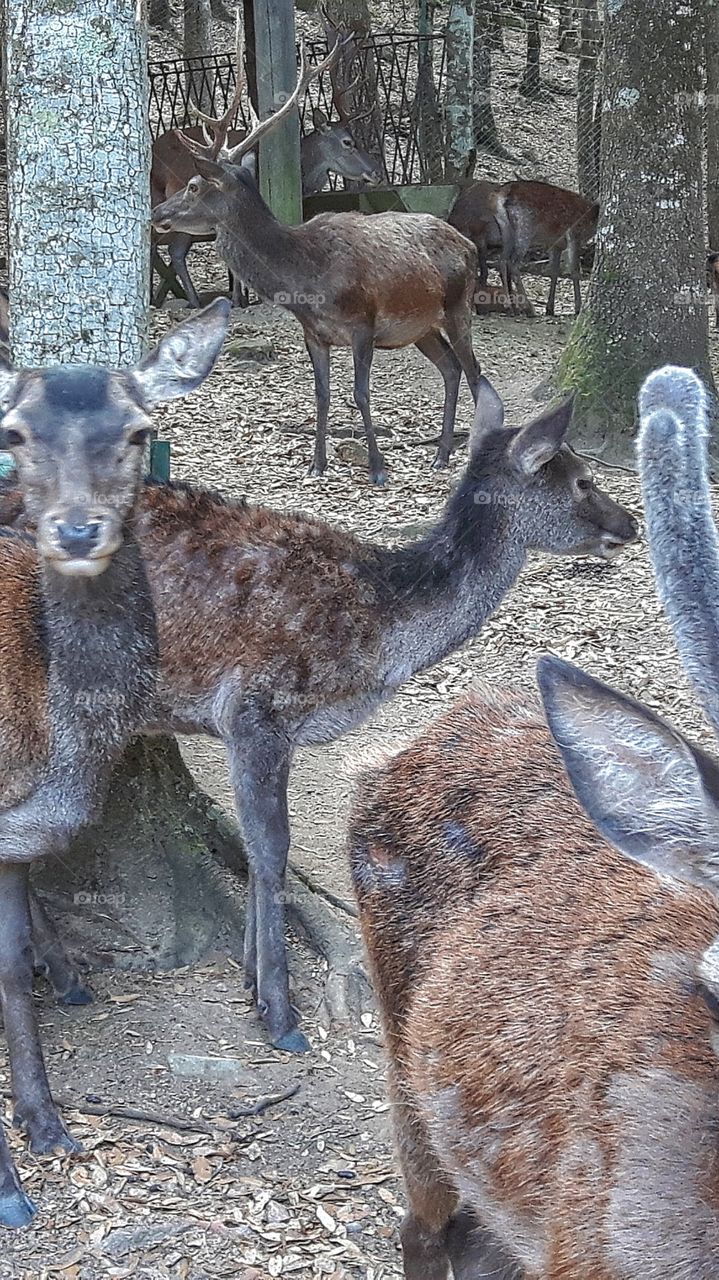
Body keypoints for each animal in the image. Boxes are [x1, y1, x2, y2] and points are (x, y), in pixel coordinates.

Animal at [1, 380, 636, 1074]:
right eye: (581, 480)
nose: (628, 525)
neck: (378, 632)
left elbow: (258, 847)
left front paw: (251, 978)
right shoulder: (258, 709)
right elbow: (272, 847)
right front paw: (279, 1015)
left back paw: (63, 974)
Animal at [152, 40, 484, 483]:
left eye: (192, 186)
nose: (158, 212)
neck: (307, 279)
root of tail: (469, 245)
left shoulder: (363, 323)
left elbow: (360, 393)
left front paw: (377, 468)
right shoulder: (313, 333)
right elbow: (322, 394)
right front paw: (317, 464)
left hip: (458, 305)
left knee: (474, 370)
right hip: (421, 327)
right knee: (450, 368)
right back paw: (441, 454)